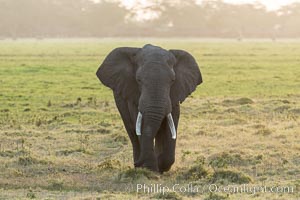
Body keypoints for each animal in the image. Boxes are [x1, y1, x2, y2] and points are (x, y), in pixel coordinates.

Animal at [96, 44, 203, 173]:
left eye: (172, 80)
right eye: (138, 80)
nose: (138, 163)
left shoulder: (175, 94)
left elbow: (171, 121)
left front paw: (160, 166)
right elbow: (140, 123)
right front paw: (150, 169)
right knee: (132, 131)